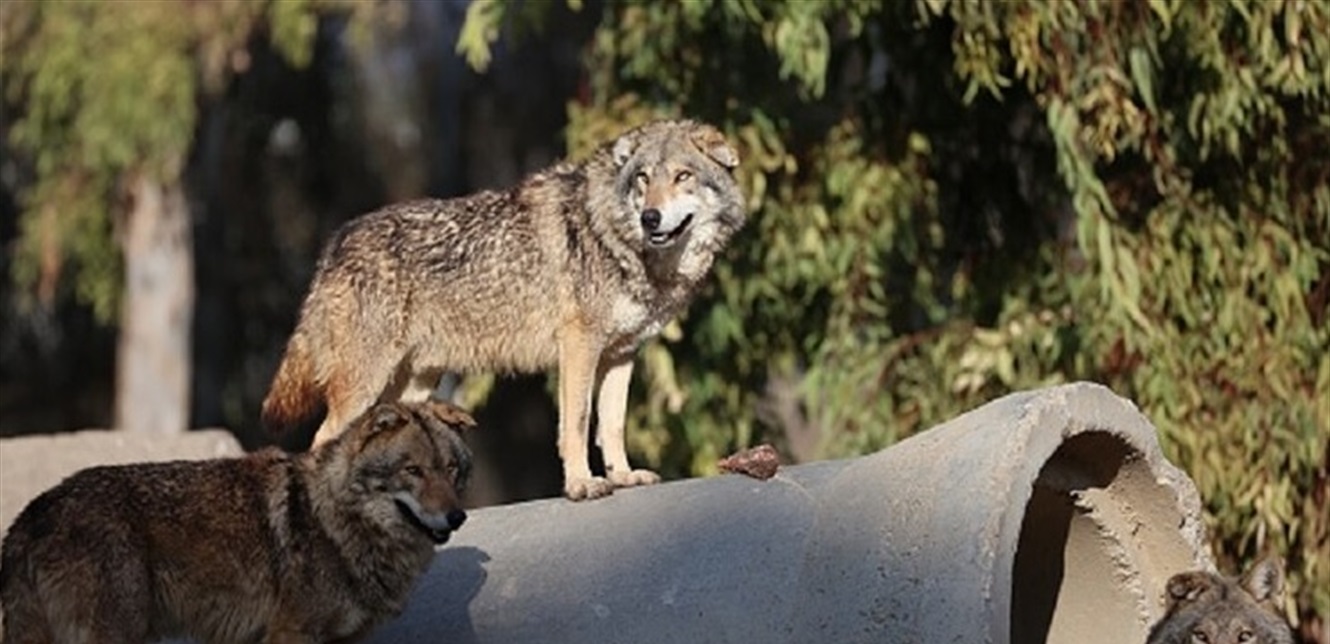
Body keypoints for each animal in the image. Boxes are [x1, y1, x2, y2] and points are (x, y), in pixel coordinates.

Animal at [0, 399, 478, 641]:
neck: (337, 521)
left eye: (452, 469)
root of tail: (33, 510)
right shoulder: (292, 633)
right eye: (413, 471)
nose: (456, 516)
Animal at [263, 118, 744, 500]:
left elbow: (611, 425)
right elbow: (577, 423)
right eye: (643, 178)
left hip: (413, 386)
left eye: (683, 176)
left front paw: (623, 476)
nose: (650, 218)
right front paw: (581, 485)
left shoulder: (621, 354)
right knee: (322, 440)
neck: (619, 238)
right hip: (365, 385)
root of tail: (336, 242)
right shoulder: (579, 347)